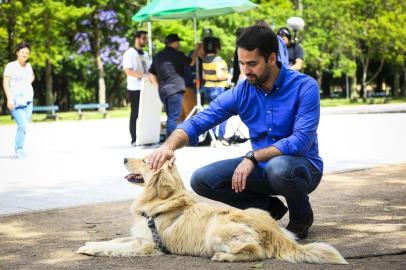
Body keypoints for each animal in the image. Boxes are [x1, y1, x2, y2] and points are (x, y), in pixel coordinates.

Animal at [77, 157, 348, 264]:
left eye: (145, 161)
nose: (124, 158)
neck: (160, 200)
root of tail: (274, 232)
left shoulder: (148, 244)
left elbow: (117, 247)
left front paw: (92, 249)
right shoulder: (141, 234)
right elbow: (114, 240)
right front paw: (89, 244)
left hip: (216, 230)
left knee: (255, 252)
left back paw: (224, 257)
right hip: (255, 211)